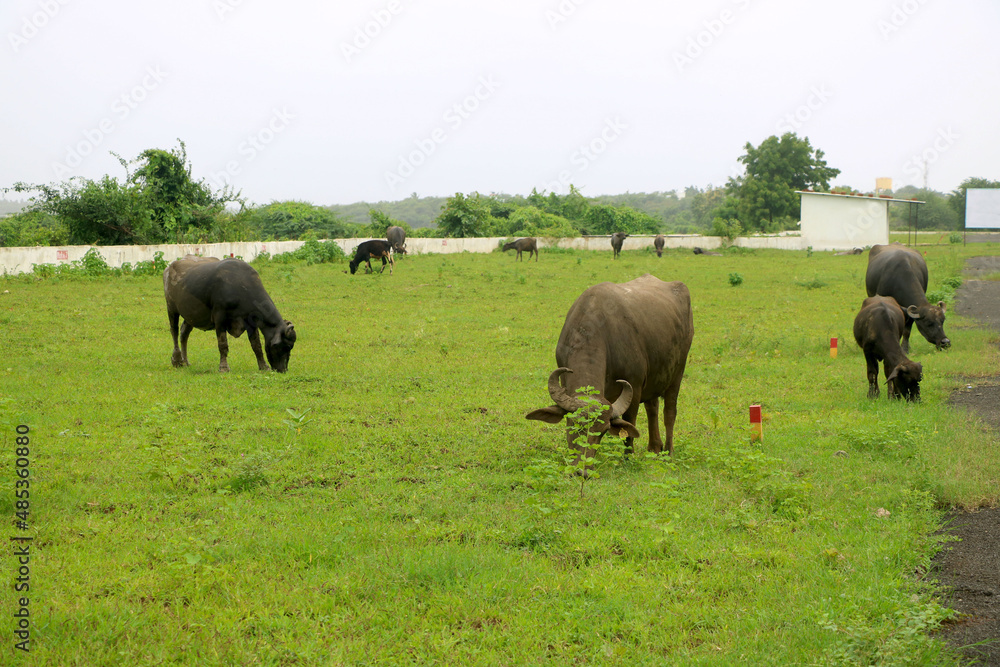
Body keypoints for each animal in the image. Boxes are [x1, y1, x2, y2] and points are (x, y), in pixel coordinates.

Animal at [163, 256, 296, 374]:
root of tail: (169, 268)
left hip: (191, 315)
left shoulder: (251, 322)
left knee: (184, 333)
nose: (283, 370)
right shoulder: (219, 318)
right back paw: (177, 360)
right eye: (284, 346)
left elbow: (256, 345)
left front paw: (264, 366)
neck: (241, 286)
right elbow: (223, 344)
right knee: (174, 331)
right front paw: (223, 367)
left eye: (291, 347)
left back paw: (186, 361)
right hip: (171, 307)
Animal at [524, 274, 696, 462]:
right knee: (652, 408)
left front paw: (628, 457)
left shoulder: (635, 387)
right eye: (572, 424)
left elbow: (630, 424)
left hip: (677, 373)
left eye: (604, 431)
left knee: (669, 412)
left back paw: (669, 451)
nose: (583, 466)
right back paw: (654, 448)